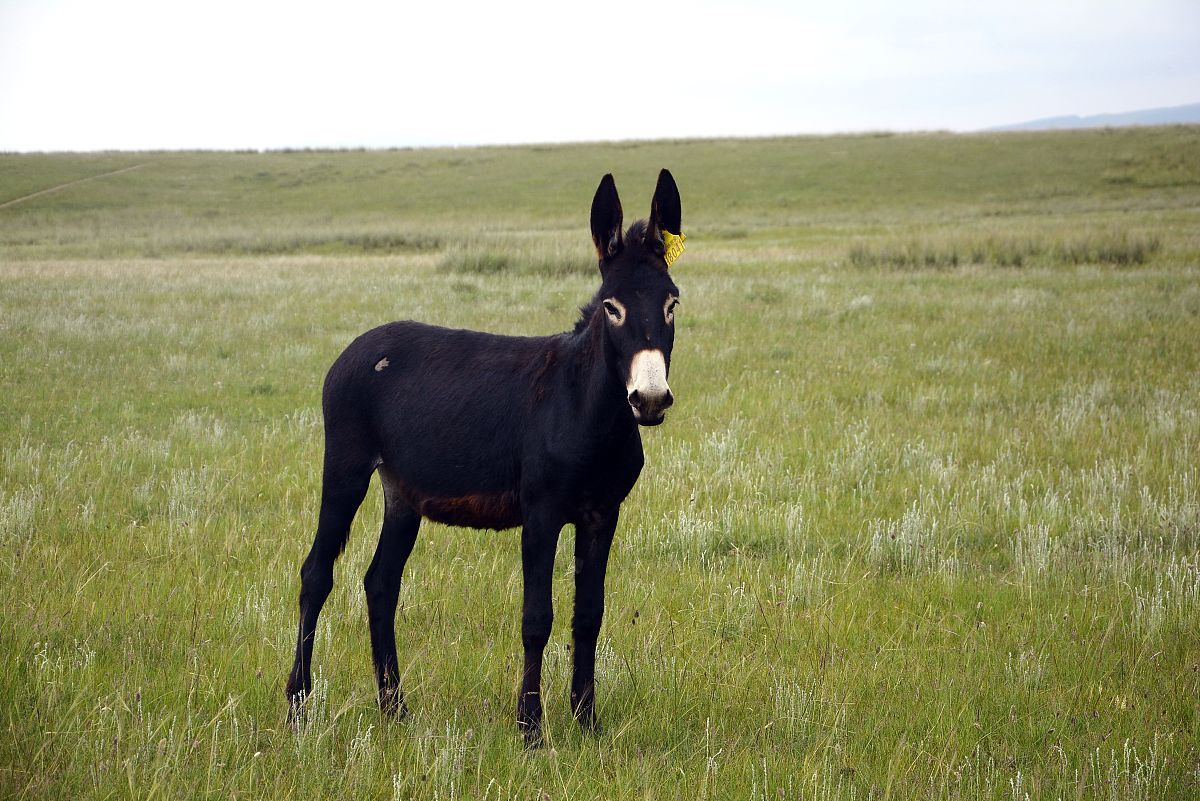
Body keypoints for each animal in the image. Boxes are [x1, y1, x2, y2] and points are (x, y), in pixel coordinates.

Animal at [286, 169, 684, 746]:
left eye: (672, 304)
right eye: (612, 308)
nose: (650, 400)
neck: (587, 408)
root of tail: (359, 344)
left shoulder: (602, 514)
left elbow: (589, 615)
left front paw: (587, 723)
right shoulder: (541, 513)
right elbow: (536, 618)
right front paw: (531, 730)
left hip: (402, 492)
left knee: (380, 583)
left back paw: (395, 709)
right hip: (346, 467)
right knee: (317, 573)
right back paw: (297, 705)